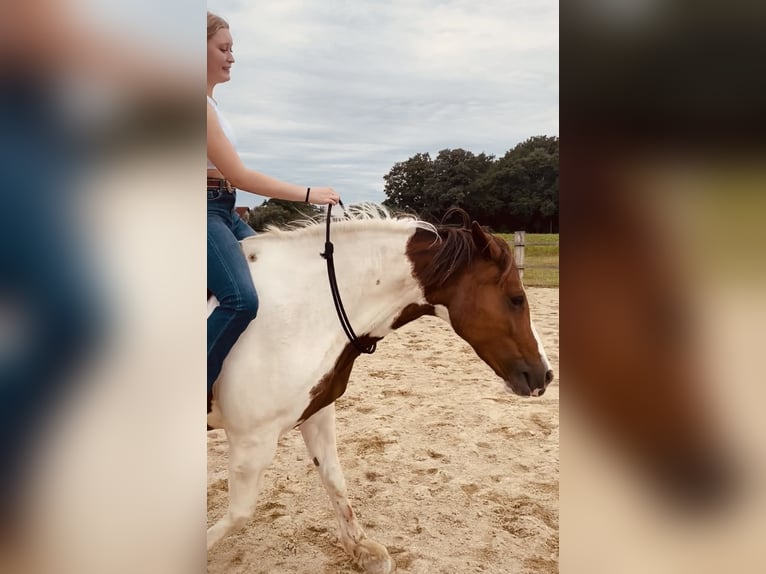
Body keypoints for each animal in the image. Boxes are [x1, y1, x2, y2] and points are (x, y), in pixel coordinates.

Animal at [206, 205, 552, 572]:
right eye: (516, 299)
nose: (545, 375)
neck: (306, 307)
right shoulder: (252, 440)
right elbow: (240, 514)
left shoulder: (316, 414)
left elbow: (333, 477)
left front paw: (362, 549)